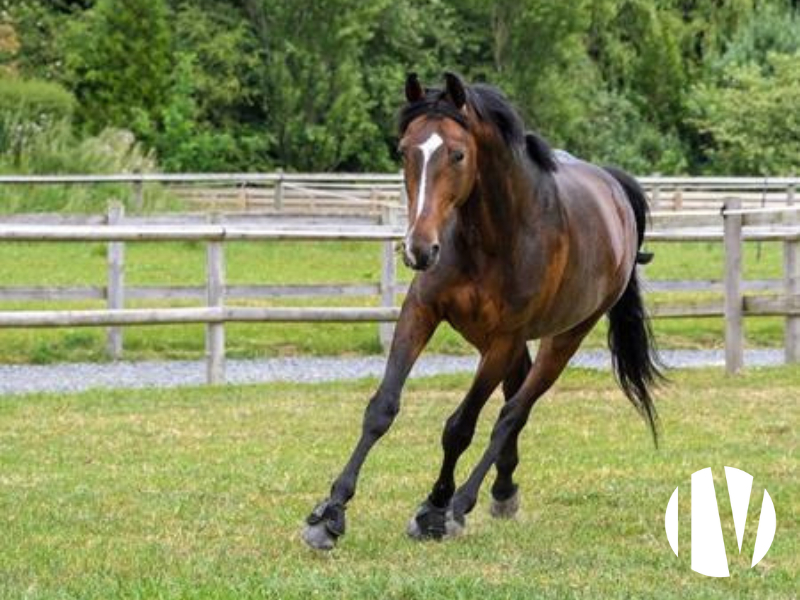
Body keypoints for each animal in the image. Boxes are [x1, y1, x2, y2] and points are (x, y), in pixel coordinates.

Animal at [304, 72, 660, 552]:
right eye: (404, 151)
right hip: (490, 338)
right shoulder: (422, 311)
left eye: (457, 153)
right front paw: (330, 513)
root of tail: (615, 191)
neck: (493, 235)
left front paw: (435, 509)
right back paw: (503, 490)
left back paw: (464, 502)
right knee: (513, 396)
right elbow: (382, 408)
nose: (419, 249)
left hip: (563, 337)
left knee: (514, 412)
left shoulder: (505, 337)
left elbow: (460, 426)